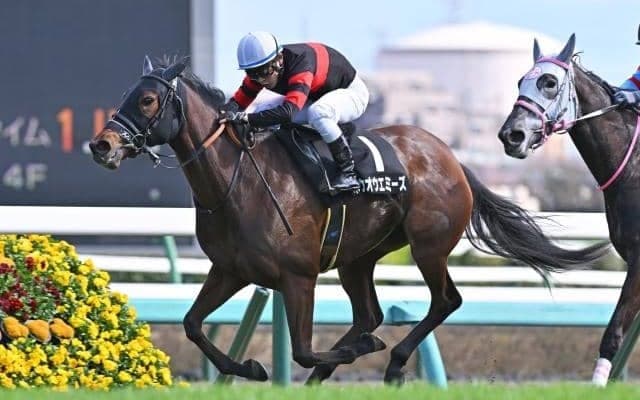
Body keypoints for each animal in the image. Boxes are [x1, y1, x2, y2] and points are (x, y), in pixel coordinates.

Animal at [89, 56, 609, 384]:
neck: (237, 183)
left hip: (428, 247)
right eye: (128, 95)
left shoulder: (297, 276)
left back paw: (393, 361)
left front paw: (359, 352)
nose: (101, 145)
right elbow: (193, 325)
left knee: (444, 301)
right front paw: (252, 368)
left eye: (148, 101)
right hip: (357, 258)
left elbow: (300, 348)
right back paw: (332, 370)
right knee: (370, 314)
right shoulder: (231, 270)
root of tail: (451, 158)